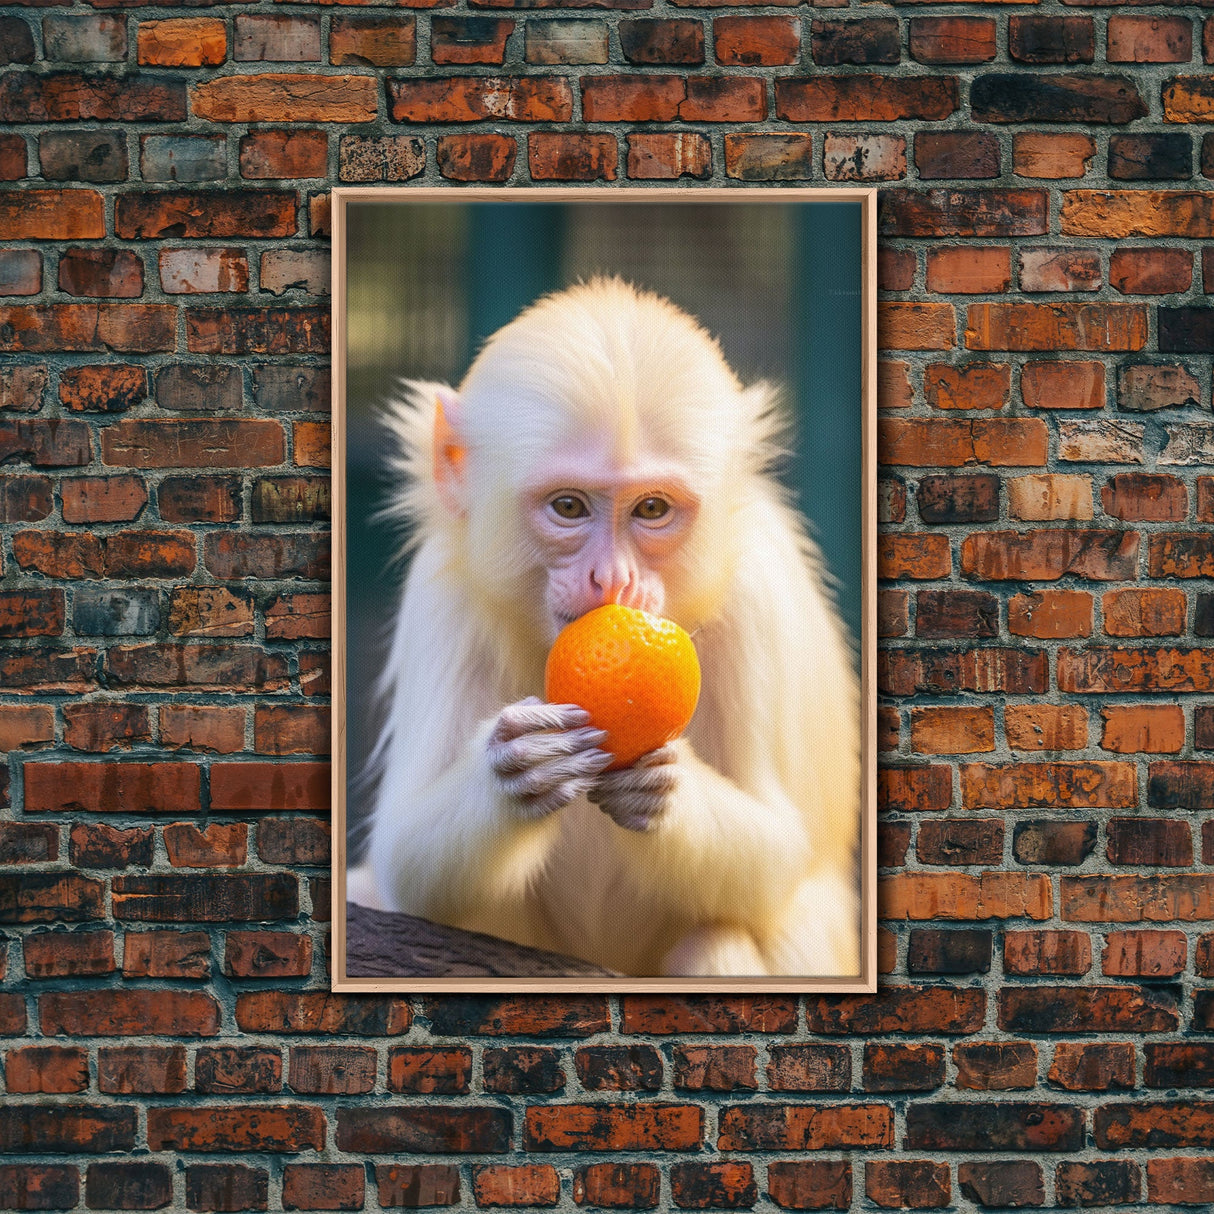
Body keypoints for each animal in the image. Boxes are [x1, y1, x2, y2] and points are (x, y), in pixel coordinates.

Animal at [346, 277, 861, 978]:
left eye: (652, 509)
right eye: (569, 506)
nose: (611, 579)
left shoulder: (757, 591)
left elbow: (780, 856)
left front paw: (662, 791)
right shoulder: (441, 593)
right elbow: (409, 867)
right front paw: (515, 774)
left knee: (718, 939)